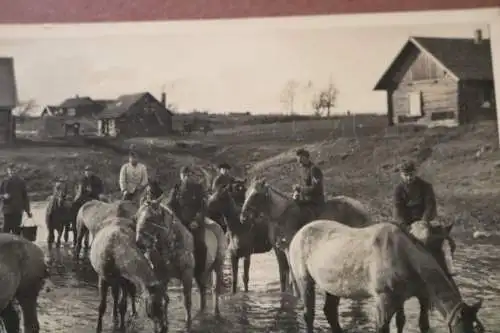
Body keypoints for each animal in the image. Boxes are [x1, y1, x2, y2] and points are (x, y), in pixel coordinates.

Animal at [134, 198, 226, 328]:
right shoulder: (161, 276)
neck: (172, 243)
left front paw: (188, 323)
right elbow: (163, 299)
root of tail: (216, 224)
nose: (139, 244)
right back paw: (201, 311)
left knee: (215, 289)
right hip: (200, 273)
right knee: (202, 290)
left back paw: (216, 313)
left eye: (149, 218)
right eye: (136, 218)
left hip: (218, 266)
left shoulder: (186, 274)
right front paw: (164, 323)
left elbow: (187, 300)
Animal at [290, 219, 484, 332]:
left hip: (334, 286)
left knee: (330, 312)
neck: (405, 255)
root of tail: (299, 232)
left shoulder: (407, 298)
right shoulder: (384, 301)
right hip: (305, 280)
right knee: (309, 315)